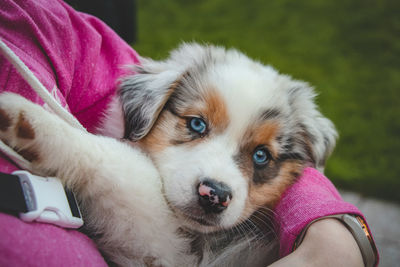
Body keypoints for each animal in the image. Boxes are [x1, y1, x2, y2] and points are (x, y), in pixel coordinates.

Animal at [0, 44, 338, 267]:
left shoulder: (166, 248)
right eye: (197, 124)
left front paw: (26, 118)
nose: (214, 195)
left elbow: (122, 164)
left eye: (261, 156)